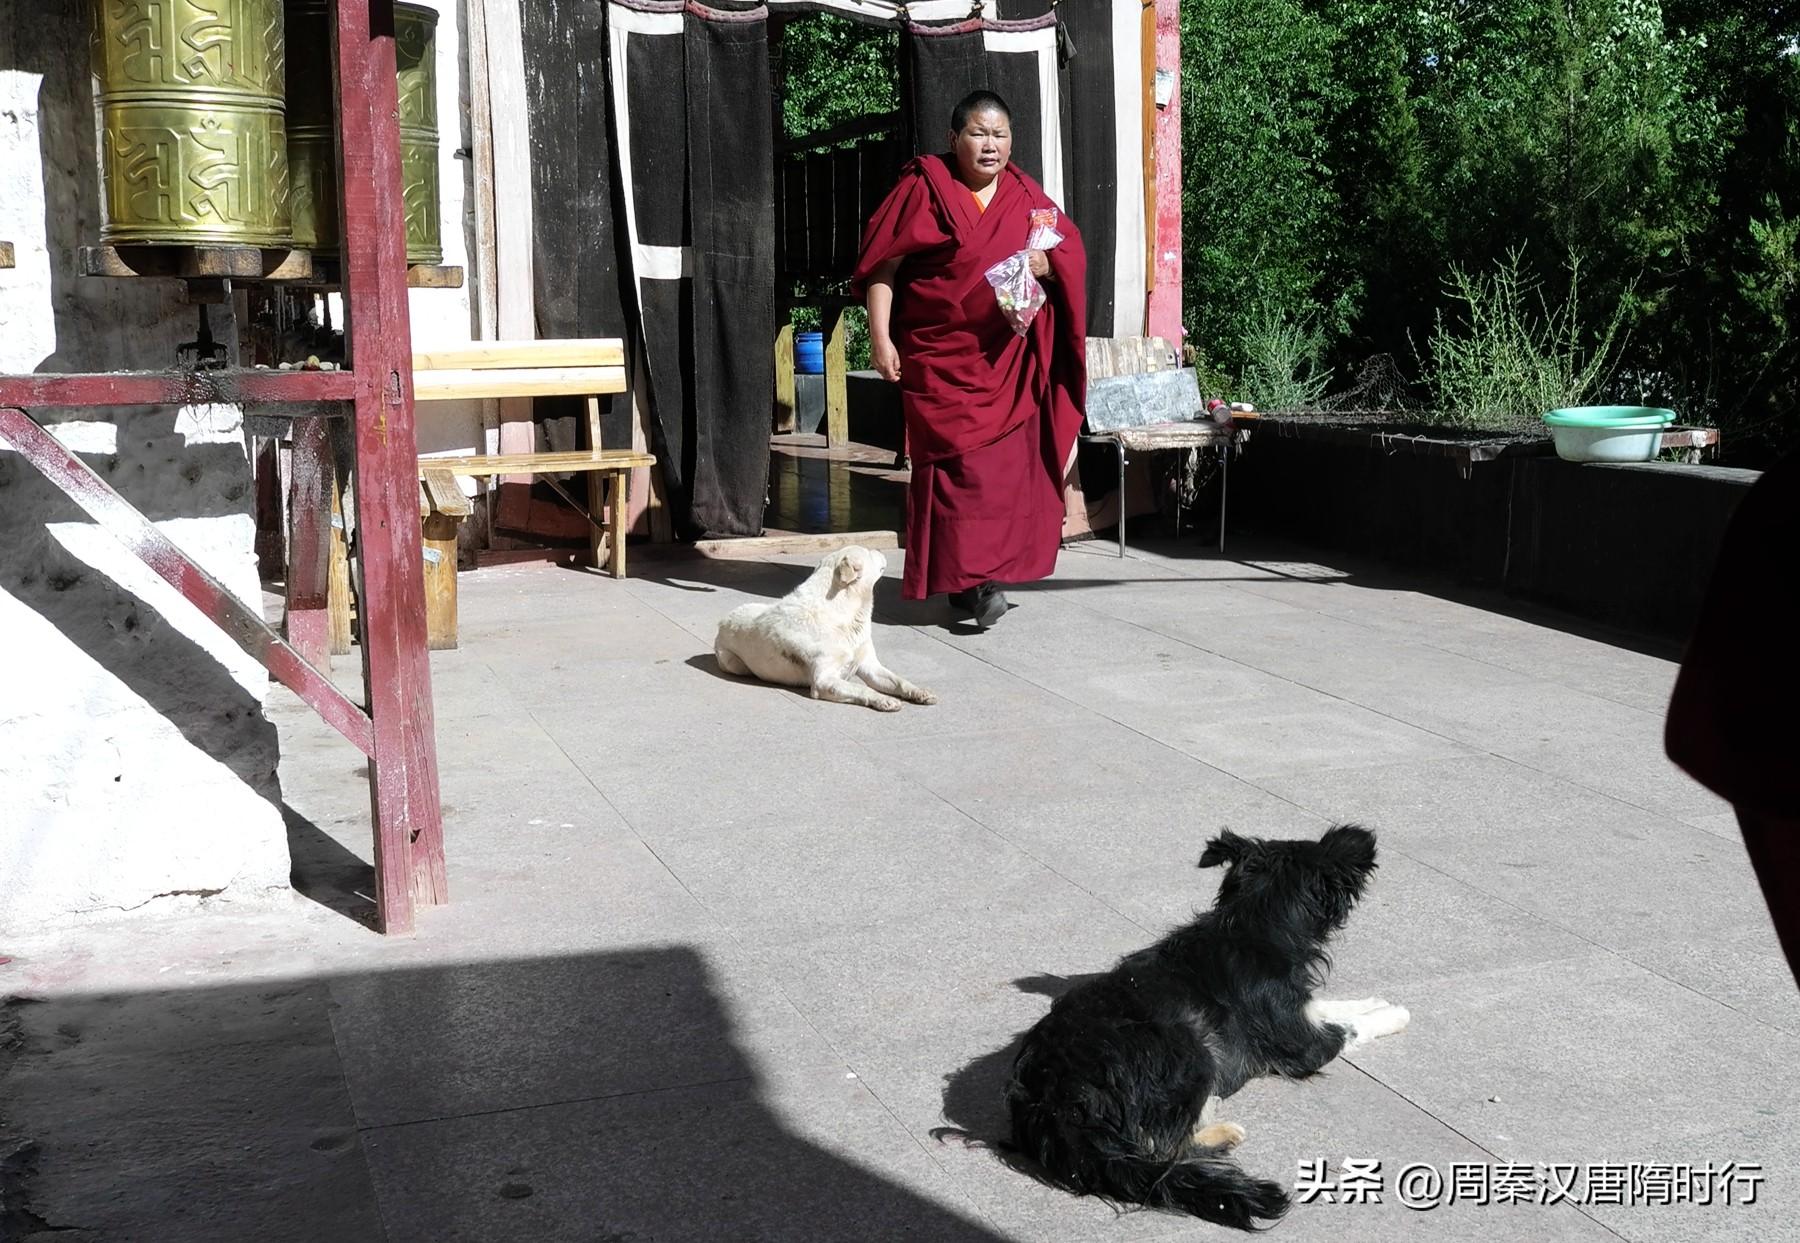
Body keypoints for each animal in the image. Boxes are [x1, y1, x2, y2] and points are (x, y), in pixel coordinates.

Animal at [716, 550, 943, 715]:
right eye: (869, 552)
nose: (881, 551)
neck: (845, 616)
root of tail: (722, 620)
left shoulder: (870, 666)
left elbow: (898, 680)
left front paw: (919, 692)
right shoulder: (824, 681)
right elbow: (863, 688)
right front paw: (884, 700)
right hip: (733, 663)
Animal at [1000, 831, 1404, 1230]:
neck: (1252, 924)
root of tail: (1051, 1097)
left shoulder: (1302, 1012)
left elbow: (1332, 1007)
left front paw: (1376, 1001)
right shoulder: (1306, 1044)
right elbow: (1351, 1027)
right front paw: (1395, 1014)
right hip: (1193, 1048)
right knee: (1164, 1152)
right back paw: (1220, 1131)